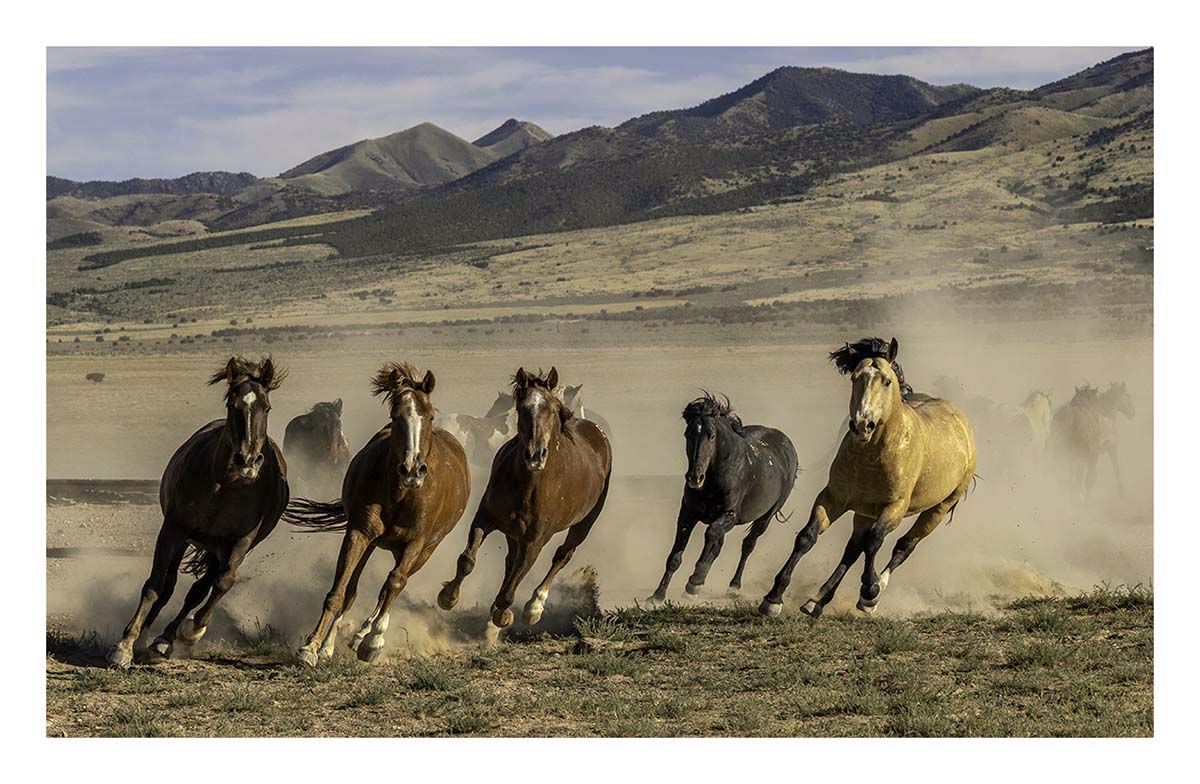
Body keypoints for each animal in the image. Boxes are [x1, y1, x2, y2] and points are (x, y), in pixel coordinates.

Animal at [107, 356, 290, 668]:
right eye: (232, 404)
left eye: (266, 406)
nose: (248, 461)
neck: (226, 486)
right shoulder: (174, 529)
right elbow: (156, 585)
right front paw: (125, 644)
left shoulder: (241, 541)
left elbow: (222, 584)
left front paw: (193, 630)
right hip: (191, 541)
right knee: (170, 587)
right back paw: (148, 639)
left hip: (218, 550)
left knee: (199, 590)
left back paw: (166, 639)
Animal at [284, 363, 471, 666]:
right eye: (395, 416)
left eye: (429, 416)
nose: (412, 470)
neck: (402, 494)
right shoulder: (359, 533)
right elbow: (341, 590)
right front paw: (312, 647)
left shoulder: (416, 543)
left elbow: (394, 583)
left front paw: (373, 643)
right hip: (375, 544)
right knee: (357, 590)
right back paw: (339, 641)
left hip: (424, 551)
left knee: (391, 587)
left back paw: (365, 635)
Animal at [437, 367, 612, 637]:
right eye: (522, 408)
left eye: (552, 409)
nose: (535, 455)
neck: (528, 484)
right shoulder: (485, 518)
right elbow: (467, 560)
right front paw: (448, 597)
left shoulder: (535, 540)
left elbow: (514, 583)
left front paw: (503, 614)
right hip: (514, 532)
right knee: (512, 562)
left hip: (584, 524)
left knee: (562, 555)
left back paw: (534, 607)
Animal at [648, 394, 797, 601]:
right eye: (687, 434)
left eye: (711, 435)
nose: (695, 477)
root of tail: (786, 443)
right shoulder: (688, 513)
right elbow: (675, 557)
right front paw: (657, 596)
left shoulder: (729, 515)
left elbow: (710, 533)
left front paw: (694, 581)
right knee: (719, 546)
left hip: (766, 517)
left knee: (748, 545)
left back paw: (733, 586)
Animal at [758, 338, 976, 619]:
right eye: (855, 378)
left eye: (887, 381)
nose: (863, 425)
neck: (873, 456)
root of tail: (962, 422)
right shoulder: (833, 498)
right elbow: (807, 537)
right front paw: (773, 598)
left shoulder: (894, 508)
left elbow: (875, 542)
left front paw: (869, 591)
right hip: (864, 512)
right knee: (852, 550)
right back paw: (816, 601)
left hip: (938, 508)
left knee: (903, 546)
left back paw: (874, 593)